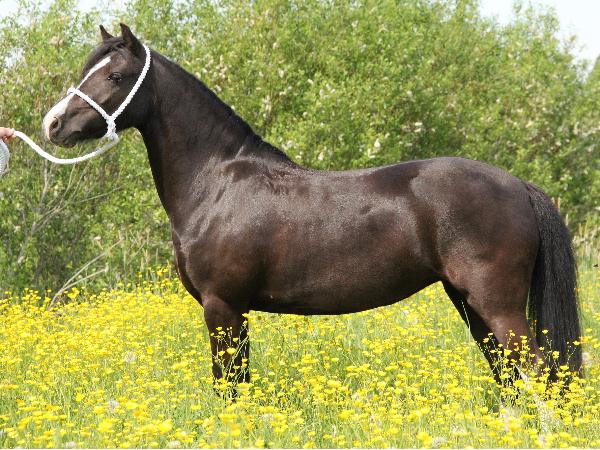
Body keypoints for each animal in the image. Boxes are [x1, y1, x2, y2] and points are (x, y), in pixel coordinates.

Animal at [42, 24, 581, 394]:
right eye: (85, 71)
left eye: (115, 75)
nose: (53, 125)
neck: (216, 183)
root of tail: (518, 185)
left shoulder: (223, 307)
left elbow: (228, 388)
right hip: (468, 303)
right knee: (513, 378)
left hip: (498, 306)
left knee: (540, 373)